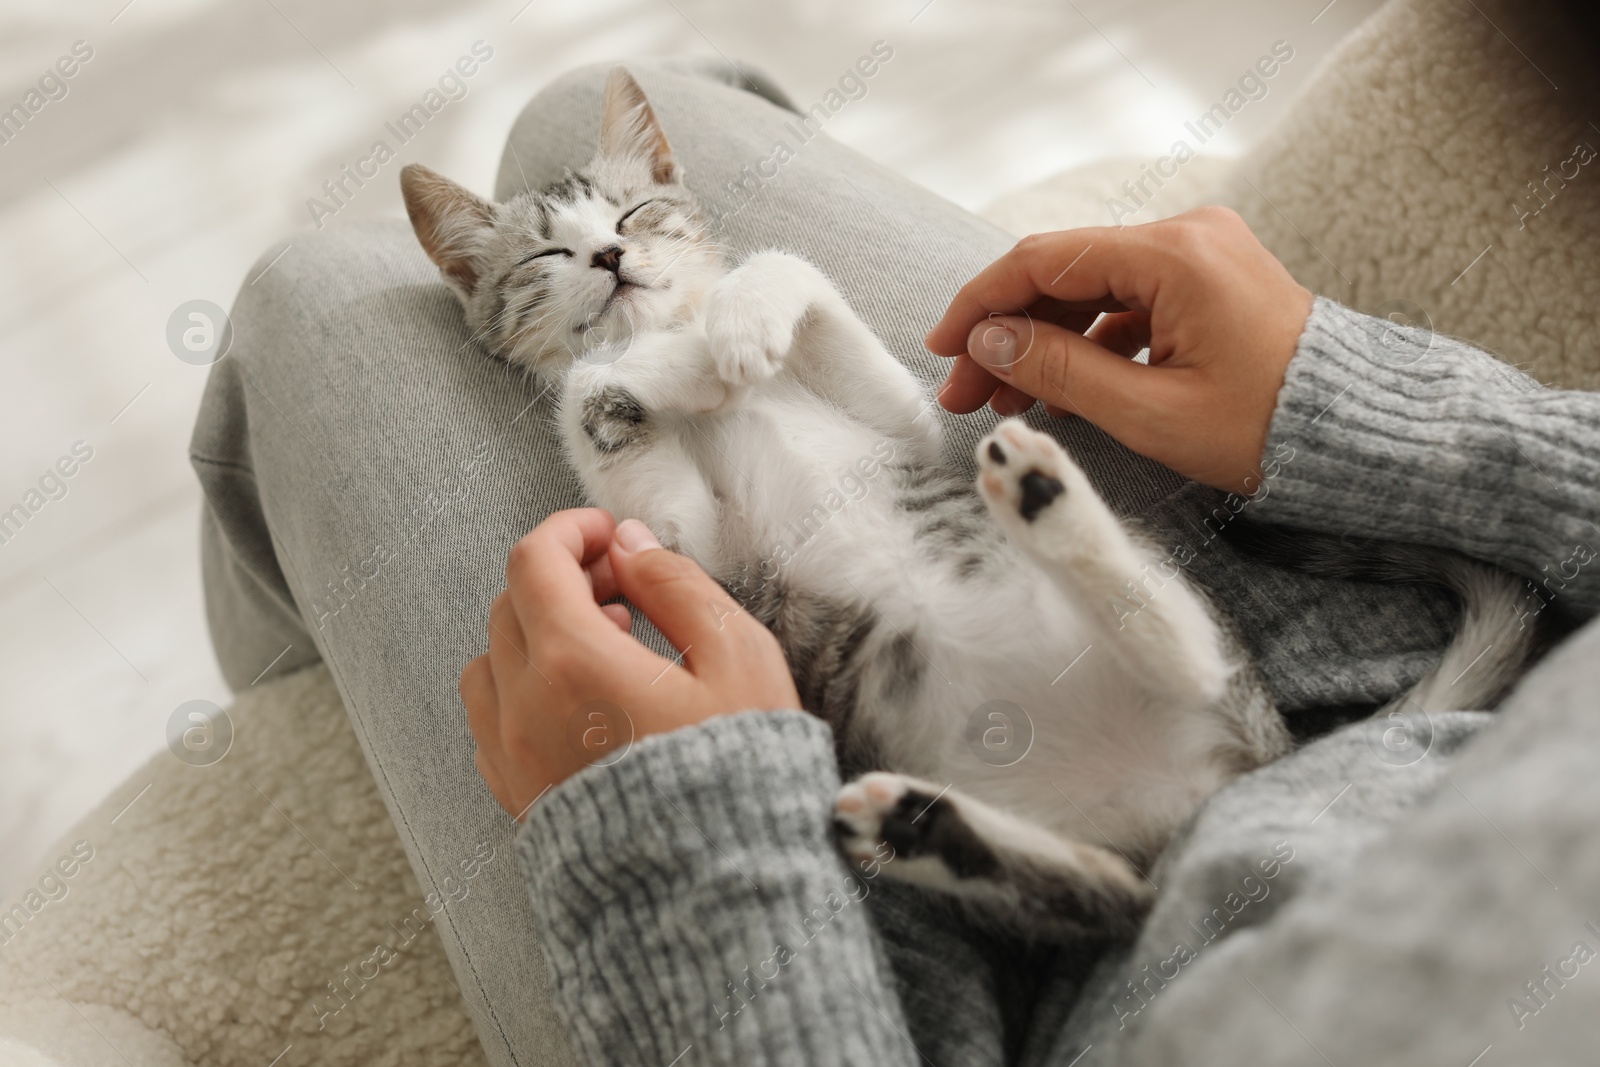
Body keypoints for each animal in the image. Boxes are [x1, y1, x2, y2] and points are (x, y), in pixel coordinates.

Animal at [396, 66, 1523, 940]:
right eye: (547, 254)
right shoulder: (691, 541)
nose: (611, 259)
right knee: (1112, 896)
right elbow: (606, 415)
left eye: (635, 215)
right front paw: (660, 366)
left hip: (1179, 627)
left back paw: (1047, 503)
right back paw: (918, 827)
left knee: (1186, 652)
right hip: (1076, 845)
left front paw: (731, 331)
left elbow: (789, 275)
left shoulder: (901, 425)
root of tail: (1226, 783)